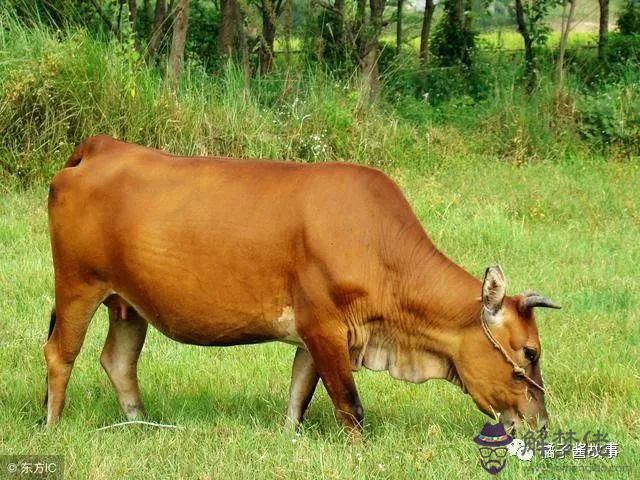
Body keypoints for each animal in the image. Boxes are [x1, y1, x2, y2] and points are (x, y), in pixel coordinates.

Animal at [43, 136, 560, 436]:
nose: (541, 423)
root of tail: (101, 146)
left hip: (127, 303)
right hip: (77, 285)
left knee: (118, 361)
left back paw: (140, 424)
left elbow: (300, 392)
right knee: (59, 354)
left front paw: (290, 435)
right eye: (529, 352)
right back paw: (52, 425)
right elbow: (348, 403)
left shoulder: (316, 335)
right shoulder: (324, 327)